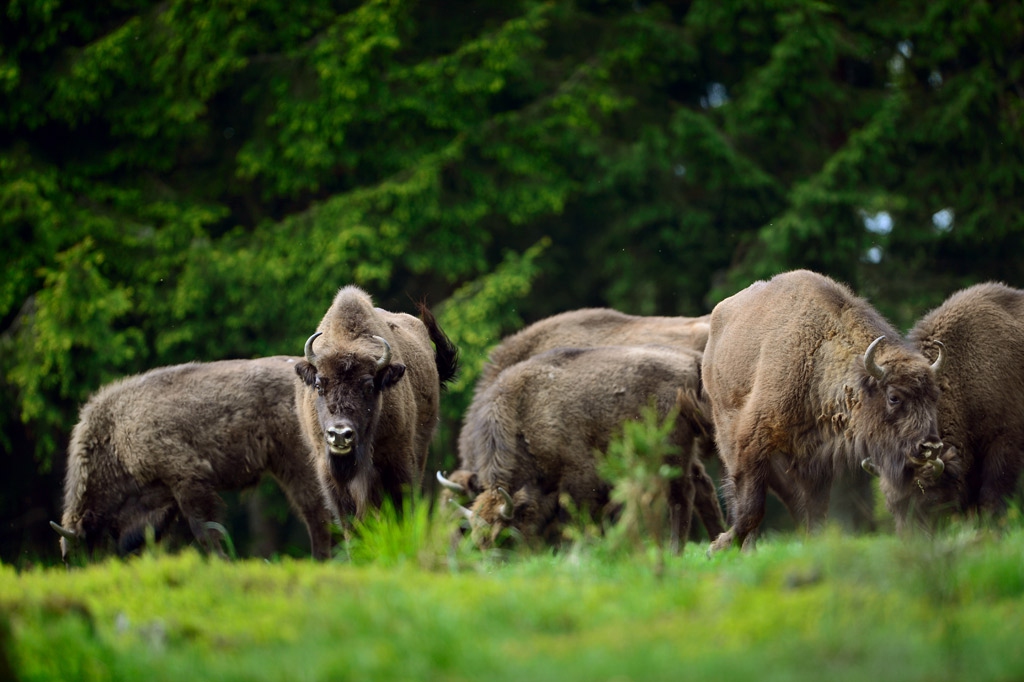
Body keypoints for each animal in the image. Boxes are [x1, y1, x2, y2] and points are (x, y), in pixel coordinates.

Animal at [49, 352, 329, 561]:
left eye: (77, 551)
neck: (114, 433)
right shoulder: (161, 500)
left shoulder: (187, 480)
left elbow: (204, 528)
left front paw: (221, 560)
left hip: (296, 463)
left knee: (314, 508)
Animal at [704, 266, 942, 552]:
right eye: (894, 397)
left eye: (934, 397)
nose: (930, 447)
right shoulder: (752, 440)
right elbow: (751, 507)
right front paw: (717, 547)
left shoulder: (816, 460)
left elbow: (814, 510)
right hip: (725, 426)